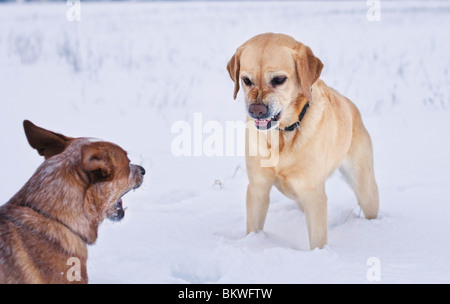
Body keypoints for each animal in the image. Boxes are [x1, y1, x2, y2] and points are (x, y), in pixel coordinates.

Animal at [227, 32, 378, 249]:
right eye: (246, 80)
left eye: (279, 79)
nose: (256, 110)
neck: (282, 136)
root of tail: (352, 106)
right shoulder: (258, 187)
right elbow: (254, 226)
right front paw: (254, 243)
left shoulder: (313, 193)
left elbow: (317, 239)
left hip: (366, 189)